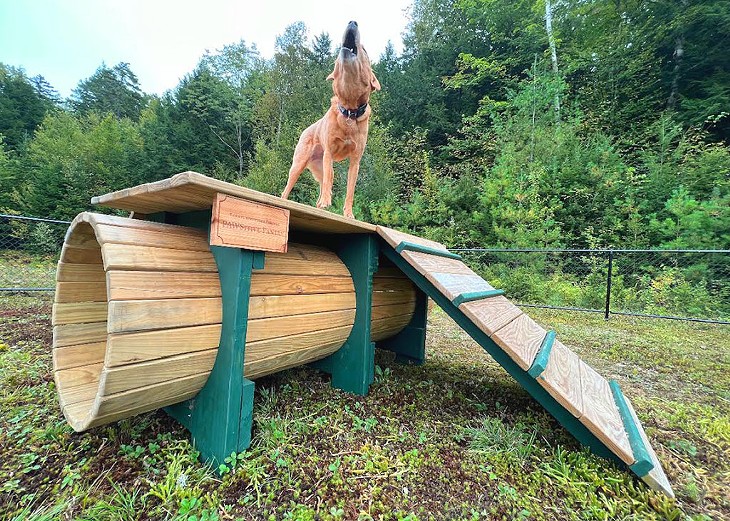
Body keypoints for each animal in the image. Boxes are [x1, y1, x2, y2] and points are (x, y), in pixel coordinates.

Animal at [280, 20, 382, 217]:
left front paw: (348, 214)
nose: (352, 22)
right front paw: (327, 202)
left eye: (364, 50)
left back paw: (319, 204)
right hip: (298, 165)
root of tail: (306, 129)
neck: (349, 111)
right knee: (289, 189)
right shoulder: (329, 151)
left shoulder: (355, 161)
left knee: (323, 184)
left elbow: (350, 191)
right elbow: (328, 181)